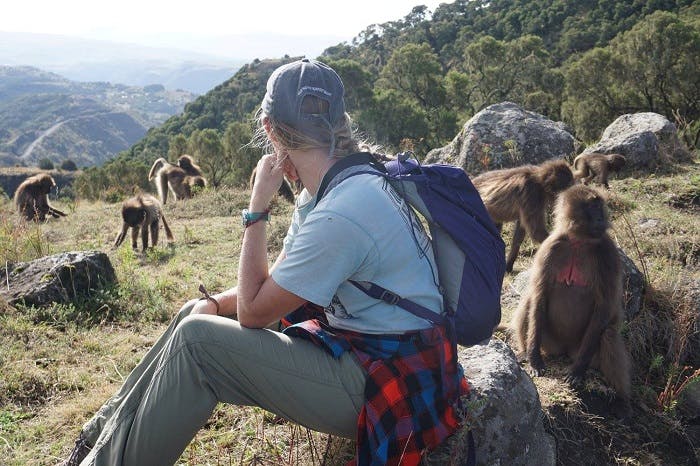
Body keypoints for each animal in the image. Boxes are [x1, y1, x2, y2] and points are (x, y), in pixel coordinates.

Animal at [510, 184, 631, 415]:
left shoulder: (608, 253)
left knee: (608, 334)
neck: (578, 241)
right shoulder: (550, 247)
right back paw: (524, 352)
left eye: (600, 207)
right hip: (550, 343)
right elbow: (539, 296)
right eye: (593, 208)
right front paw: (534, 360)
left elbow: (604, 306)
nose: (602, 219)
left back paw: (622, 399)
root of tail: (565, 350)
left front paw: (577, 371)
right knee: (529, 302)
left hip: (585, 350)